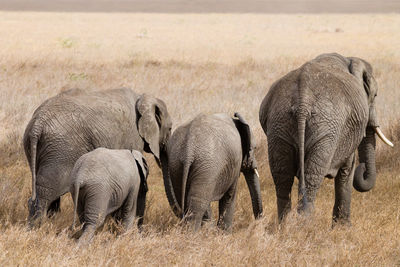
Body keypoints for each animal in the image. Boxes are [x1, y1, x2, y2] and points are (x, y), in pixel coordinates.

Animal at [23, 88, 172, 228]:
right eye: (170, 128)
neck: (142, 99)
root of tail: (37, 125)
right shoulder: (133, 136)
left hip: (40, 148)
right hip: (62, 149)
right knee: (47, 191)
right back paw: (37, 227)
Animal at [260, 52, 394, 226]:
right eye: (375, 95)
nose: (363, 168)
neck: (350, 60)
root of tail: (303, 102)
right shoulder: (346, 131)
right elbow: (347, 171)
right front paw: (344, 228)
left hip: (279, 125)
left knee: (282, 177)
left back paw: (284, 226)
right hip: (326, 129)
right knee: (312, 177)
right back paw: (305, 225)